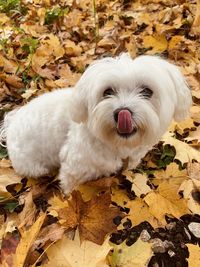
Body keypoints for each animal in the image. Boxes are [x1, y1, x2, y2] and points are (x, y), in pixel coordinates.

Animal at [0, 53, 191, 195]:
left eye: (146, 91)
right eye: (107, 92)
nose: (122, 113)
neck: (116, 144)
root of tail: (11, 124)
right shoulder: (73, 166)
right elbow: (69, 185)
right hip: (34, 166)